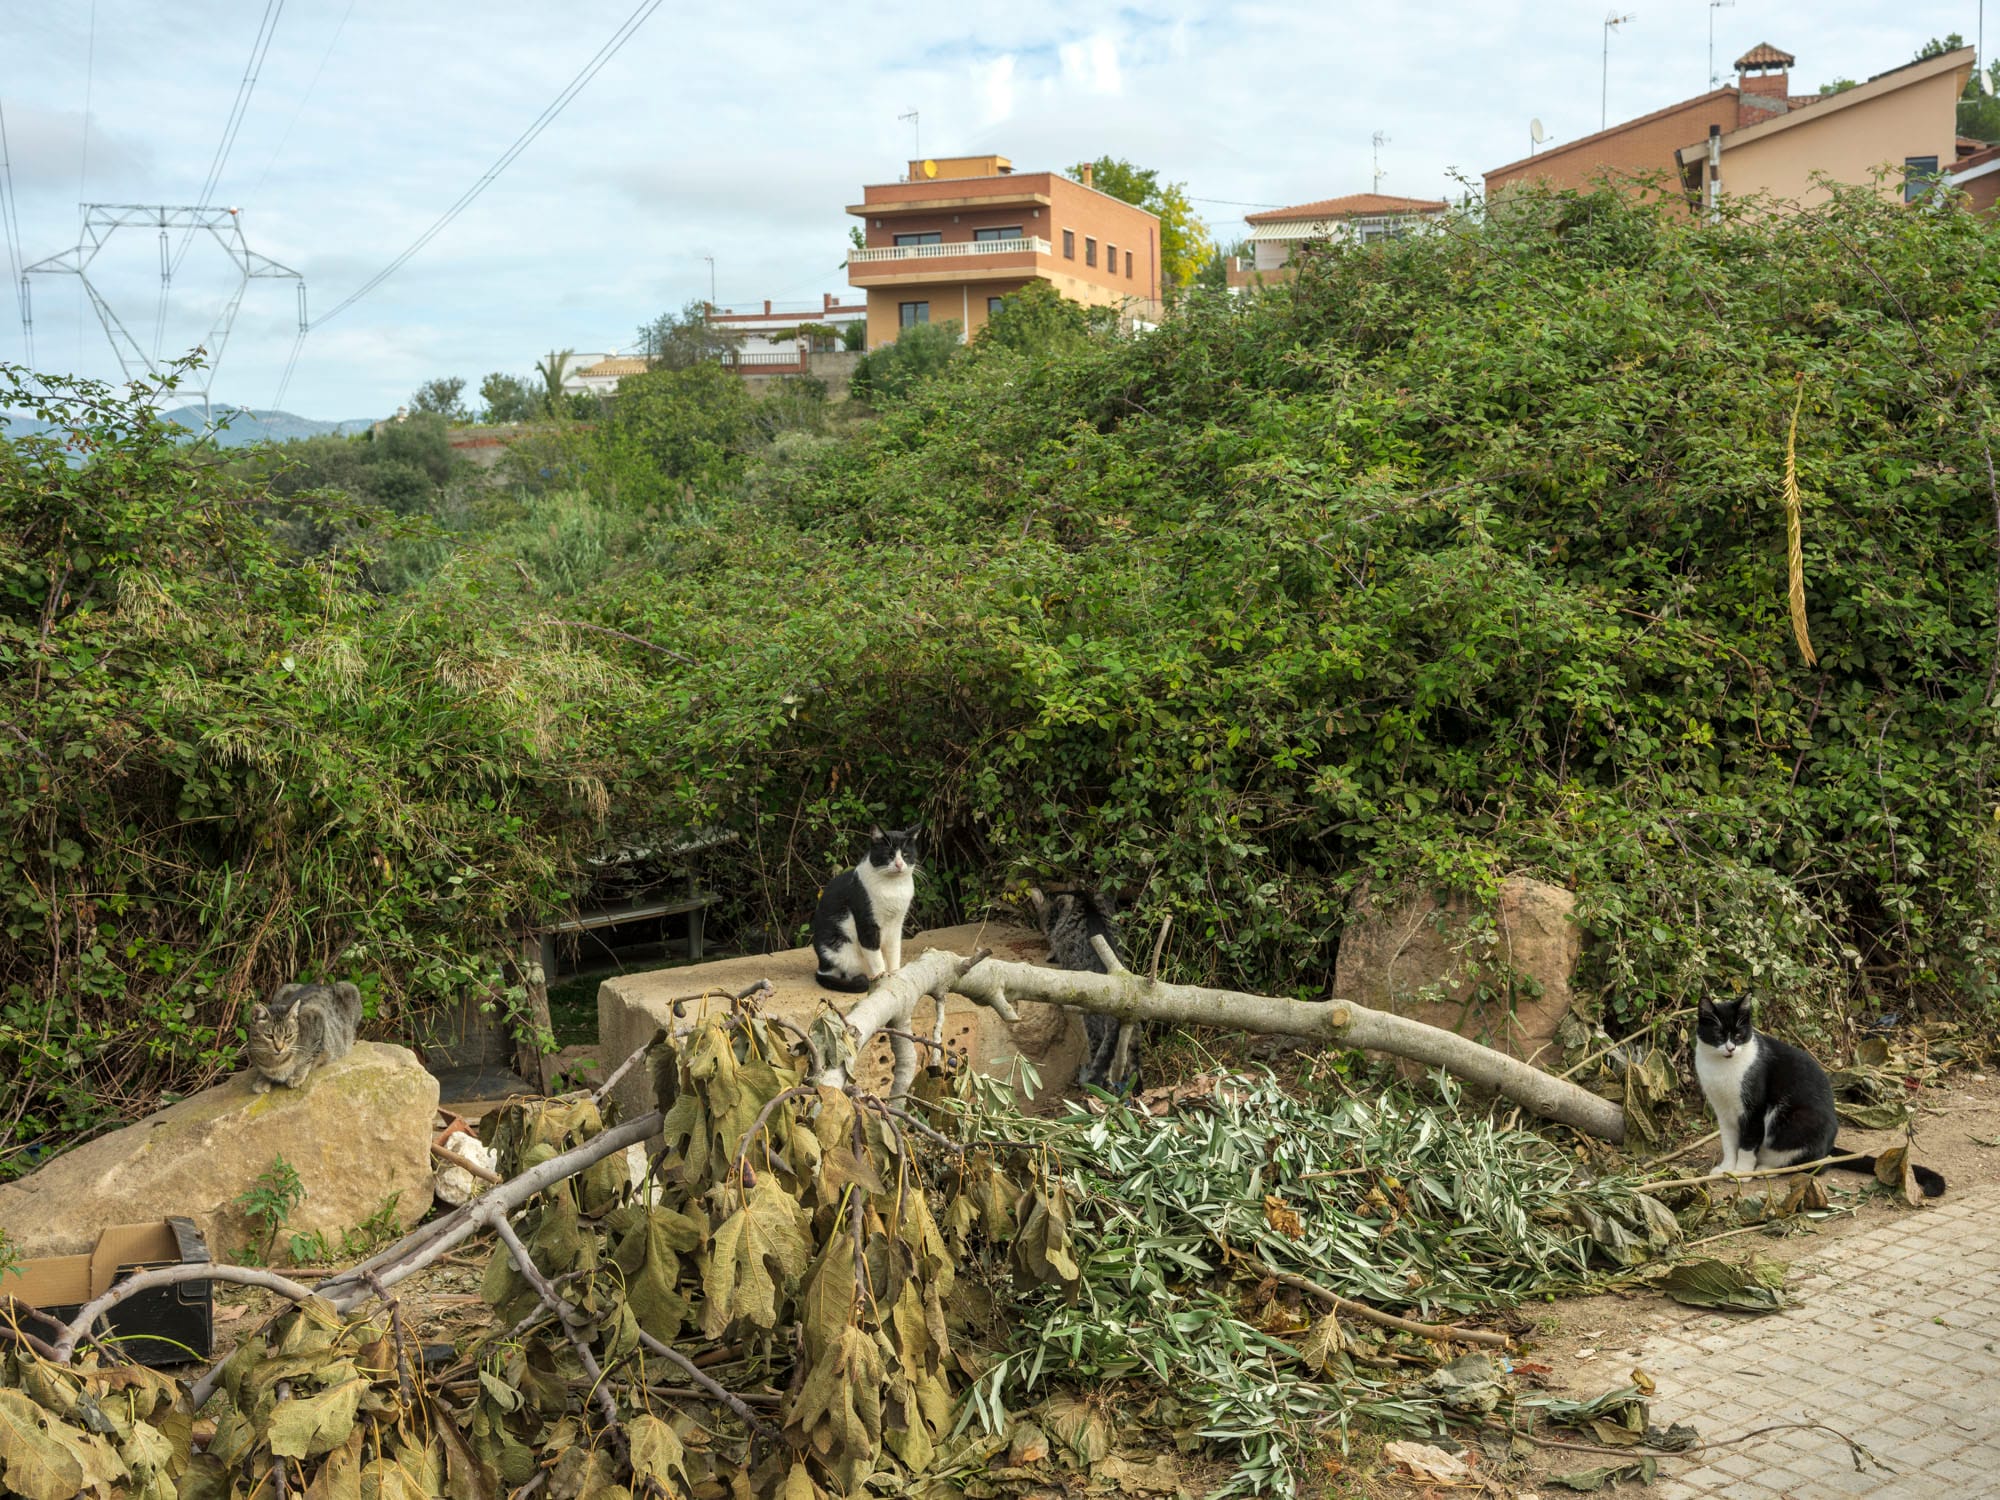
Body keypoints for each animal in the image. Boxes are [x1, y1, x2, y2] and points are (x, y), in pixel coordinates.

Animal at [808, 828, 916, 992]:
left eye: (905, 855)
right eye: (889, 855)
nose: (899, 864)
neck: (893, 887)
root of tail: (821, 967)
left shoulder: (897, 924)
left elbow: (894, 951)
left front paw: (895, 973)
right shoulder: (867, 924)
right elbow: (875, 955)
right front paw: (882, 976)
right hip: (840, 948)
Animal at [1696, 1004, 1944, 1208]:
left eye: (1739, 1035)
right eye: (1719, 1034)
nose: (1730, 1048)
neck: (1722, 1068)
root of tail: (1830, 1146)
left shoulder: (1755, 1110)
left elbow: (1747, 1145)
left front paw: (1742, 1172)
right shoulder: (1723, 1111)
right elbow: (1729, 1143)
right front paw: (1726, 1168)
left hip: (1796, 1120)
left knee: (1814, 1164)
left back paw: (1767, 1169)